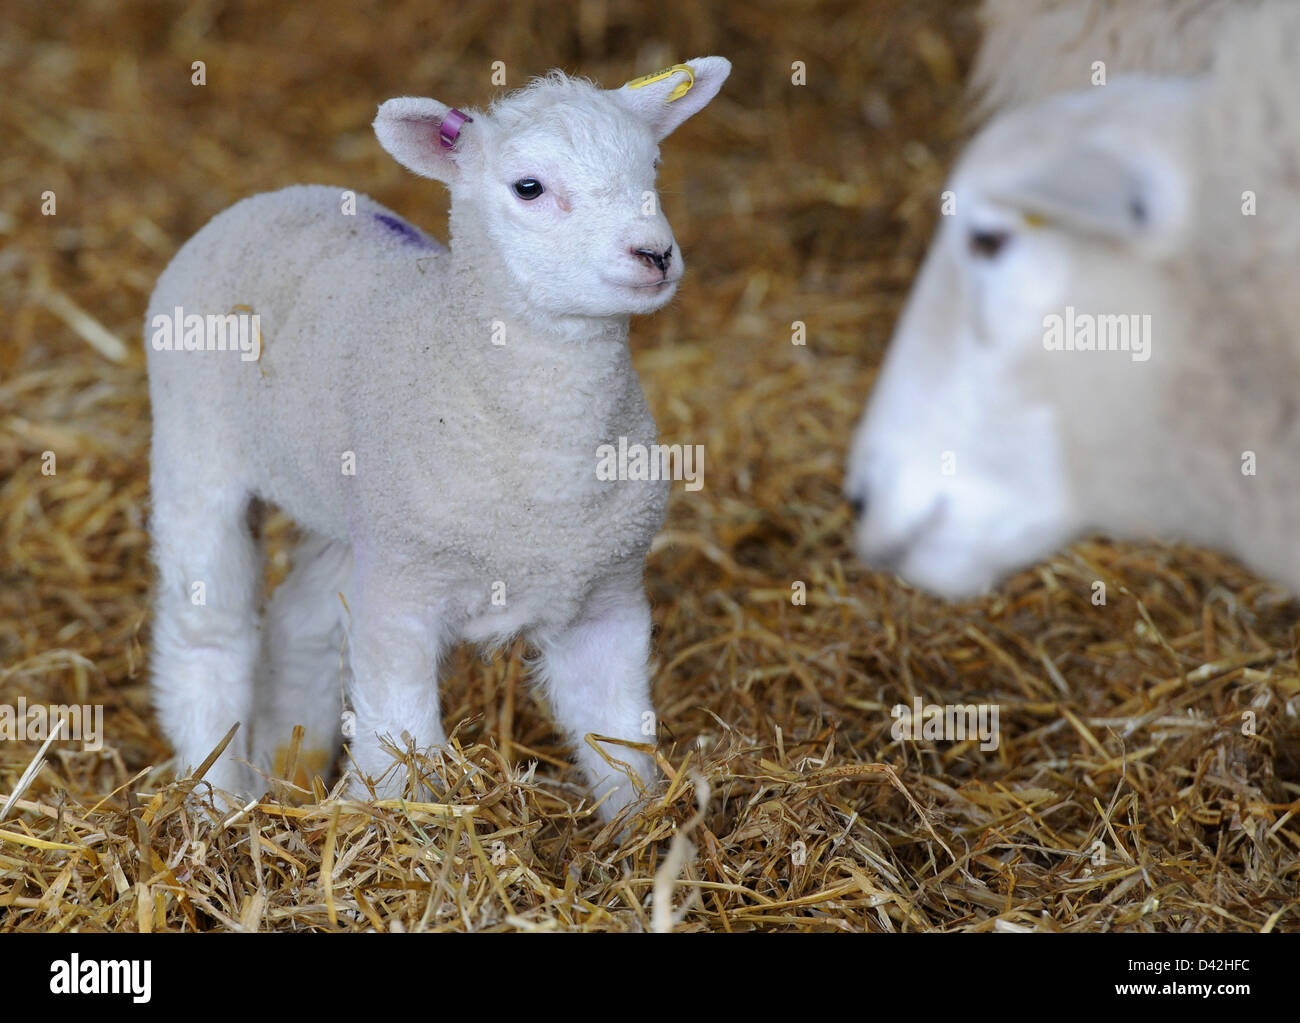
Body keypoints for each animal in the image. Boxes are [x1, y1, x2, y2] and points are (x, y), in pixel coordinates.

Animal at [144, 58, 733, 826]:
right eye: (528, 187)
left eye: (652, 168)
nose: (655, 253)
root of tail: (270, 199)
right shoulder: (402, 600)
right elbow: (400, 741)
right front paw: (398, 827)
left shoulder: (607, 597)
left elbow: (619, 742)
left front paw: (643, 834)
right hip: (196, 449)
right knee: (207, 633)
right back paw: (216, 798)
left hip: (354, 512)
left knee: (302, 624)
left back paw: (290, 771)